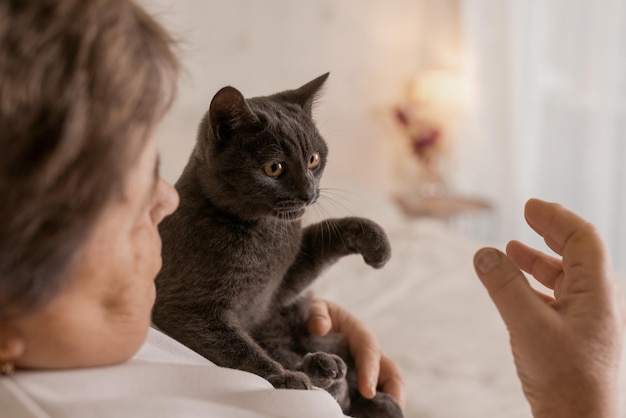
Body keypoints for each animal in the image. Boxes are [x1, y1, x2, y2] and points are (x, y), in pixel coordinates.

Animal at [154, 73, 402, 416]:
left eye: (313, 160)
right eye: (274, 168)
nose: (309, 193)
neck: (265, 235)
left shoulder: (276, 291)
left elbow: (321, 238)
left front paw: (376, 241)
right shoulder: (187, 308)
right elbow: (238, 349)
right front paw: (283, 378)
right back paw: (326, 373)